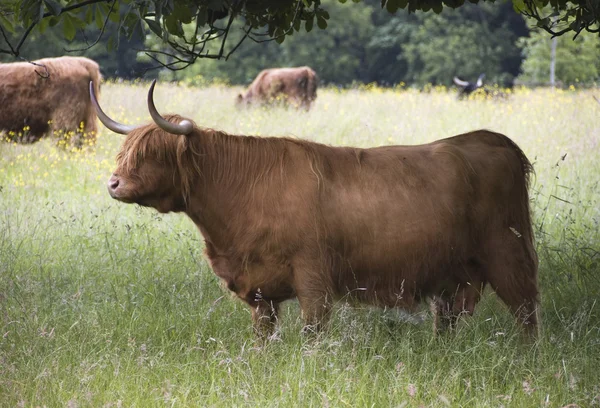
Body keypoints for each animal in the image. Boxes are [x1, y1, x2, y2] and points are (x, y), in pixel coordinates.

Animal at [92, 79, 540, 338]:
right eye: (125, 150)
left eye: (152, 153)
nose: (113, 183)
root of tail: (491, 139)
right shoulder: (260, 290)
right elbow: (264, 337)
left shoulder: (313, 277)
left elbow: (312, 333)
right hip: (453, 274)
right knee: (448, 318)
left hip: (507, 254)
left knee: (526, 311)